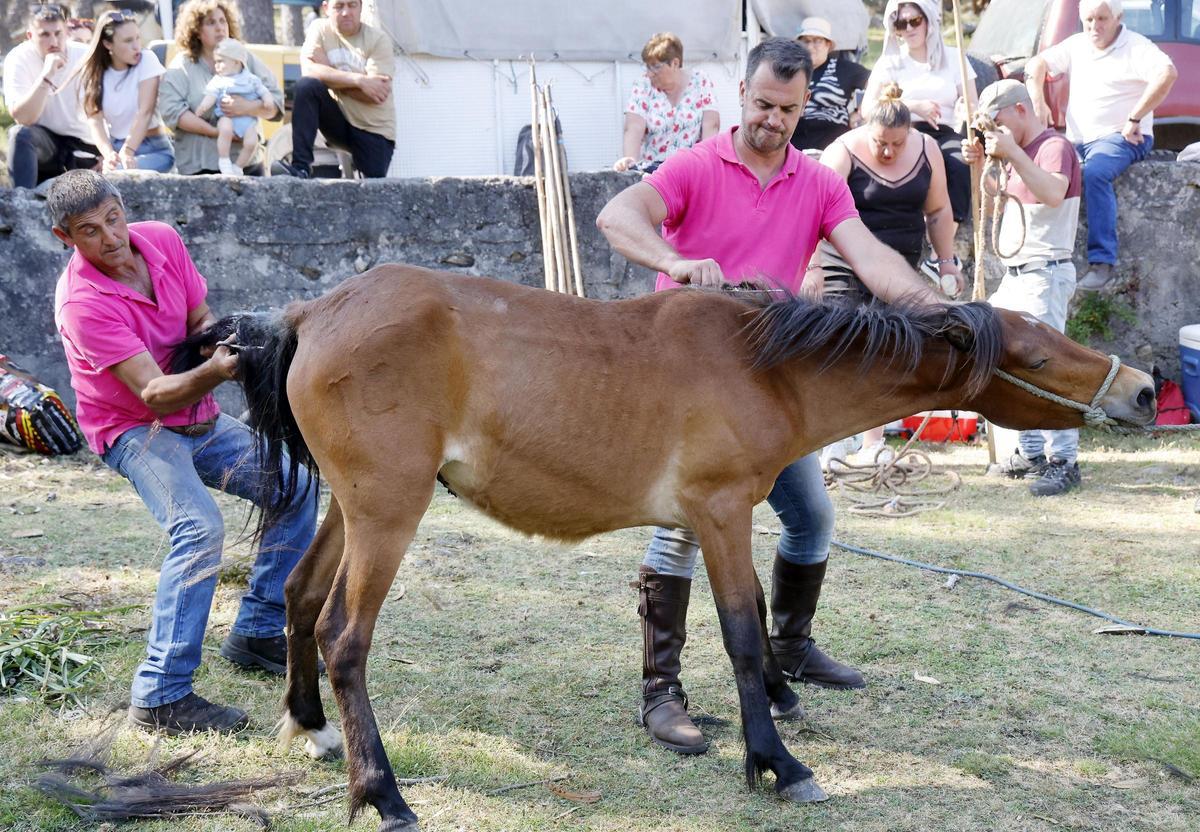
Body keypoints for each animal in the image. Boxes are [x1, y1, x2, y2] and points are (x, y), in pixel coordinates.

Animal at [178, 264, 1155, 831]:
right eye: (1035, 352)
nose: (1145, 390)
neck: (763, 365)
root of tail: (314, 309)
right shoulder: (719, 514)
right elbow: (741, 635)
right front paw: (776, 762)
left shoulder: (708, 519)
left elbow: (735, 620)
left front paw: (771, 718)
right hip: (388, 512)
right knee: (345, 638)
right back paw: (381, 793)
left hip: (355, 508)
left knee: (300, 598)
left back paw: (308, 725)